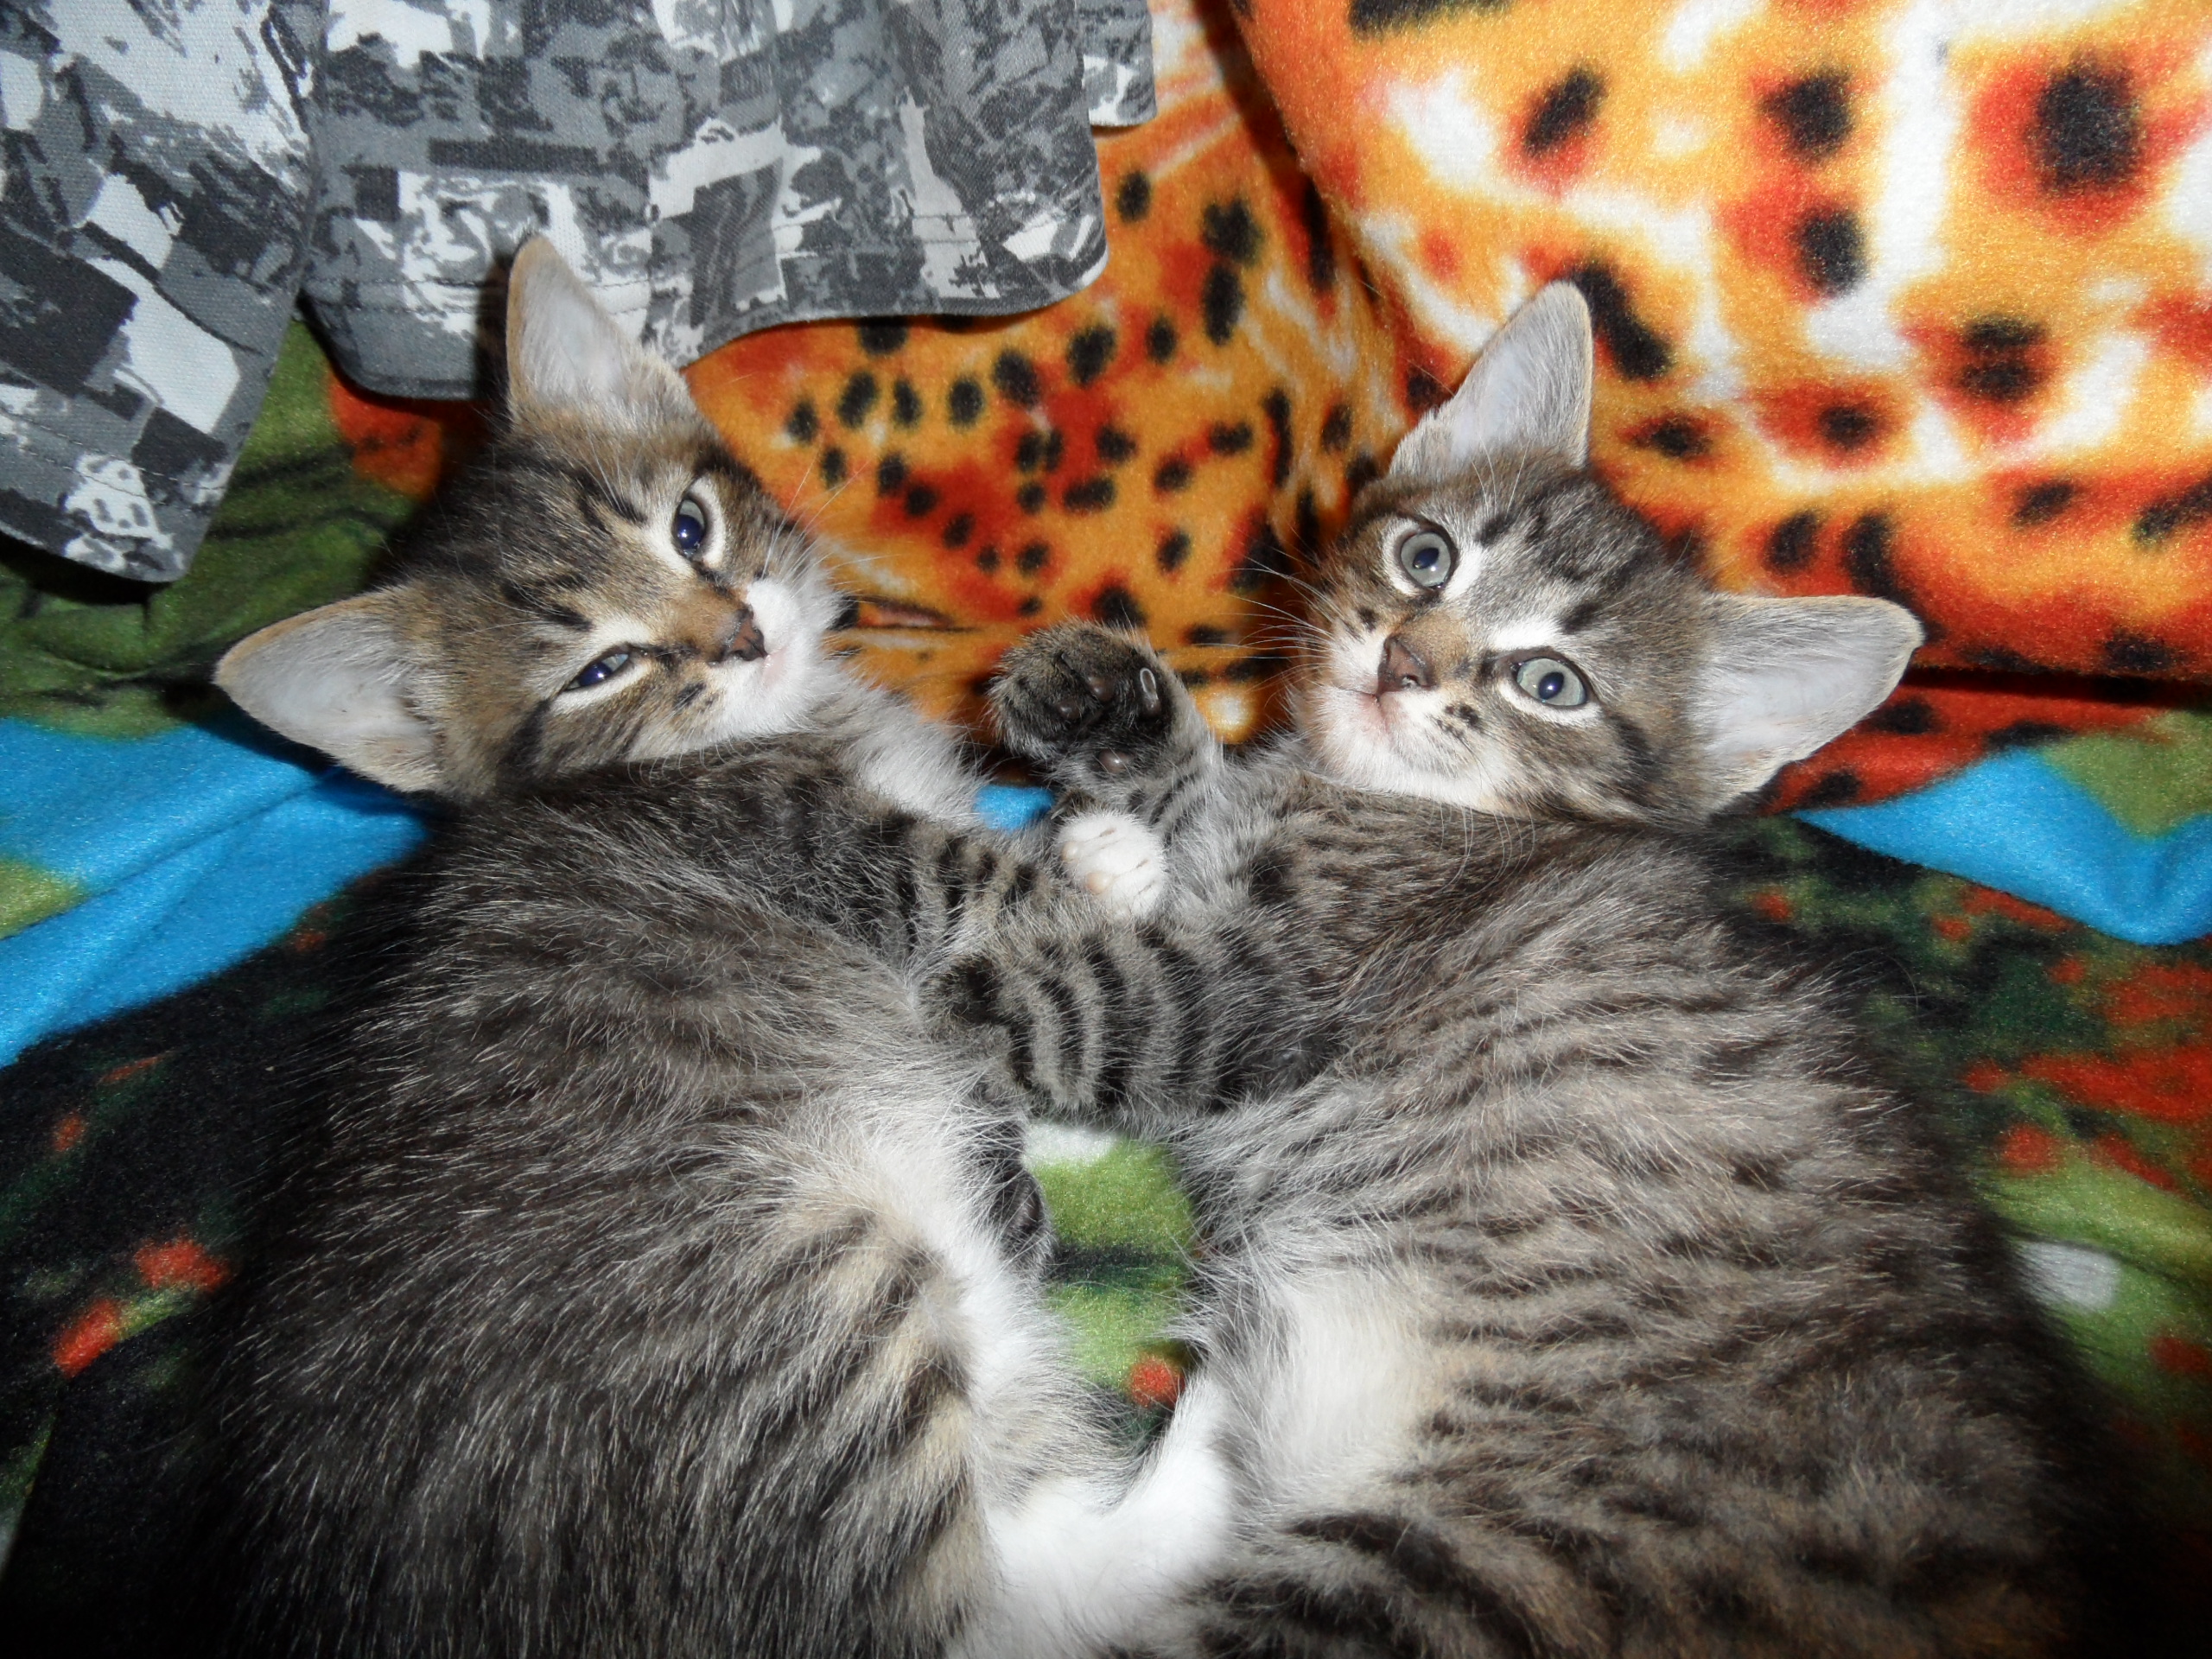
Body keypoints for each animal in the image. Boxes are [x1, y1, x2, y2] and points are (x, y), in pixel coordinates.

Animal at [195, 238, 1231, 1659]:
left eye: (689, 527)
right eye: (601, 667)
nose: (741, 631)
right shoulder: (811, 850)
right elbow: (964, 877)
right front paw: (1106, 858)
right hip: (815, 1295)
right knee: (999, 1594)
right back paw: (1251, 1409)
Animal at [712, 286, 2155, 1656]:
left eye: (1552, 683)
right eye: (1427, 556)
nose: (1409, 663)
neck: (1428, 811)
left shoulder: (1261, 989)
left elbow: (1057, 997)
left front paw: (912, 994)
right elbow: (1186, 821)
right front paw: (1113, 709)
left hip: (1466, 1561)